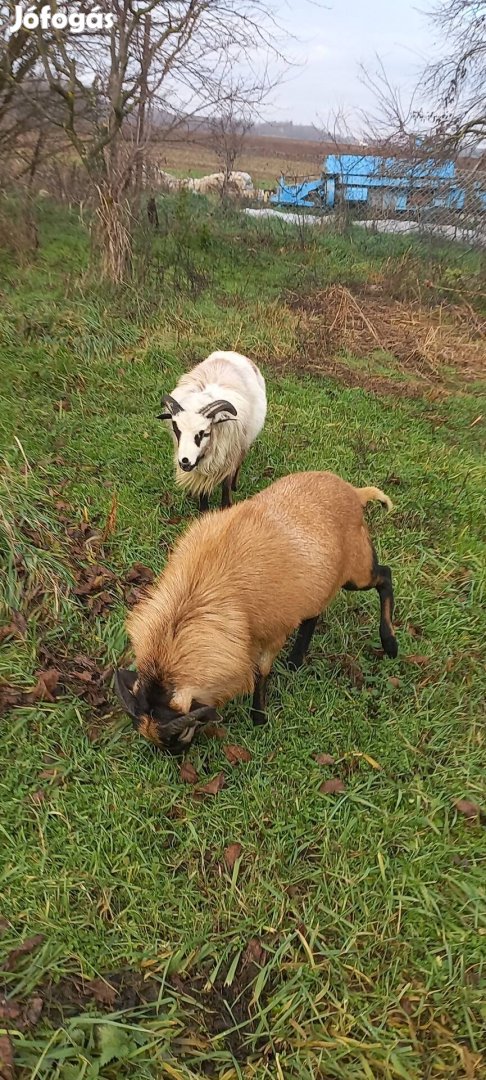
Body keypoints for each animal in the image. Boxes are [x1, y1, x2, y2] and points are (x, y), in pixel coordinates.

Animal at [158, 349, 265, 509]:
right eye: (177, 430)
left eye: (204, 433)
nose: (184, 462)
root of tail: (231, 353)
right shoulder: (201, 470)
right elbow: (203, 492)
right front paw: (204, 509)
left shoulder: (228, 457)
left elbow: (226, 487)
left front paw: (226, 506)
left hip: (244, 443)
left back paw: (235, 485)